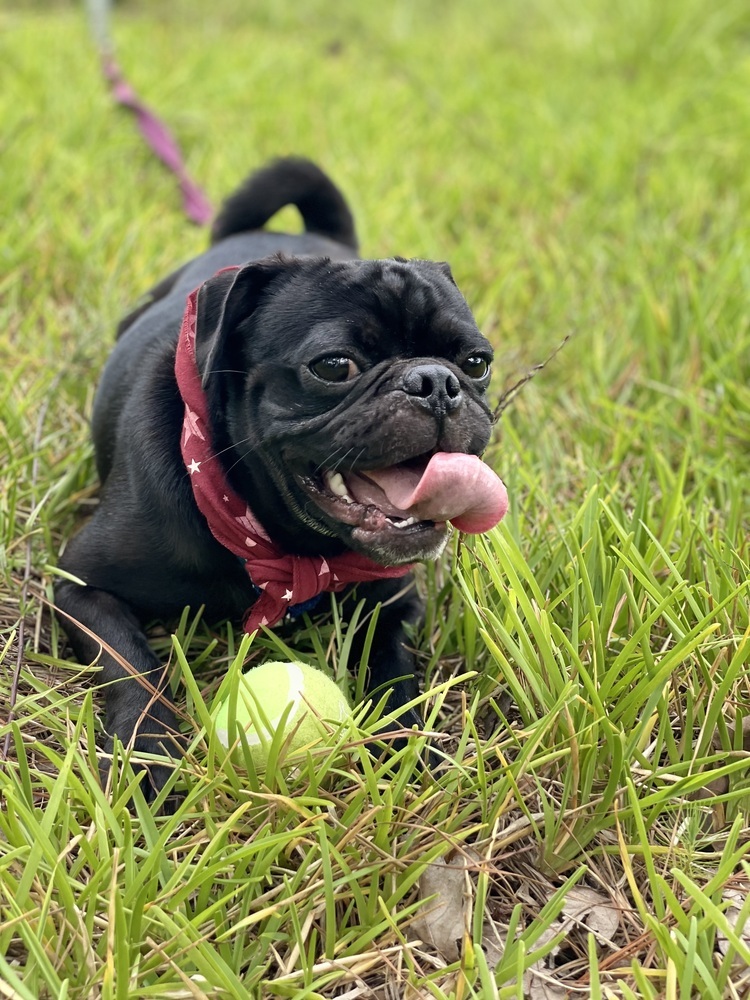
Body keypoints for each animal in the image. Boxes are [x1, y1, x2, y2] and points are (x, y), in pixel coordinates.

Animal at [55, 158, 508, 796]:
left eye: (476, 363)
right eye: (334, 366)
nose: (435, 382)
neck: (283, 547)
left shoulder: (393, 605)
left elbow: (394, 670)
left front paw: (407, 743)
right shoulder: (80, 587)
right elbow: (132, 666)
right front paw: (148, 757)